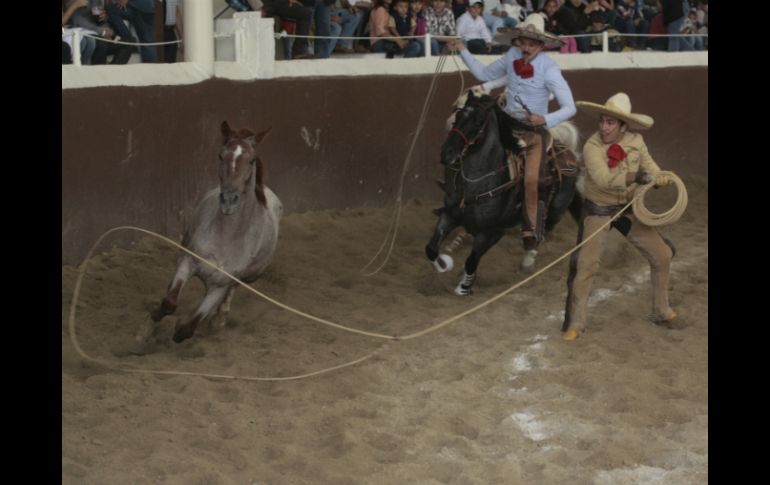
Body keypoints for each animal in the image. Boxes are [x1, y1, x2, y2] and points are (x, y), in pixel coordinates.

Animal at [143, 120, 282, 340]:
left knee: (232, 291)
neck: (226, 238)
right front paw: (147, 327)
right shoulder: (187, 263)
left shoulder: (219, 286)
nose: (229, 200)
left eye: (251, 160)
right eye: (220, 155)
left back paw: (219, 319)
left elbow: (186, 329)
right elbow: (169, 304)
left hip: (246, 278)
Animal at [424, 91, 580, 294]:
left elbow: (471, 260)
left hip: (556, 210)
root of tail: (568, 155)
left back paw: (528, 260)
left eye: (477, 122)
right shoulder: (450, 215)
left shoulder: (493, 232)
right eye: (458, 116)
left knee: (542, 232)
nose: (446, 153)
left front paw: (464, 286)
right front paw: (444, 264)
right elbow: (431, 249)